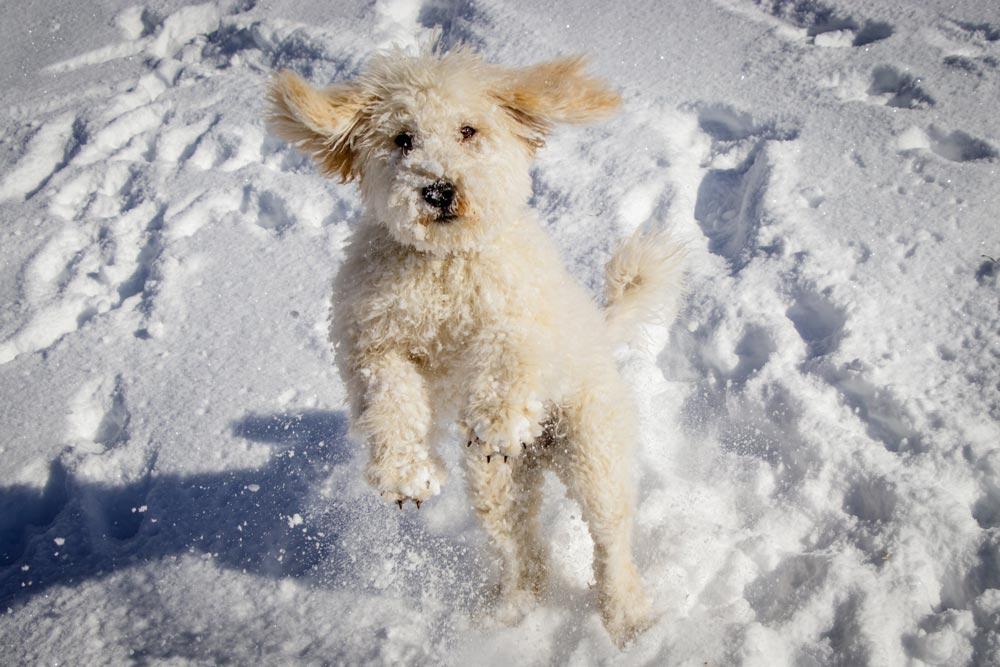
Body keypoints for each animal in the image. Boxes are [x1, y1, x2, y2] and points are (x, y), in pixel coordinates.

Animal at [268, 45, 688, 648]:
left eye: (468, 130)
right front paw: (405, 472)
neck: (445, 264)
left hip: (593, 449)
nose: (439, 190)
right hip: (498, 483)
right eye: (403, 139)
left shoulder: (521, 313)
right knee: (520, 546)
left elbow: (509, 347)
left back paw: (628, 620)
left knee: (611, 541)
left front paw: (500, 417)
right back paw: (511, 610)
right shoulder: (373, 341)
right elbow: (388, 396)